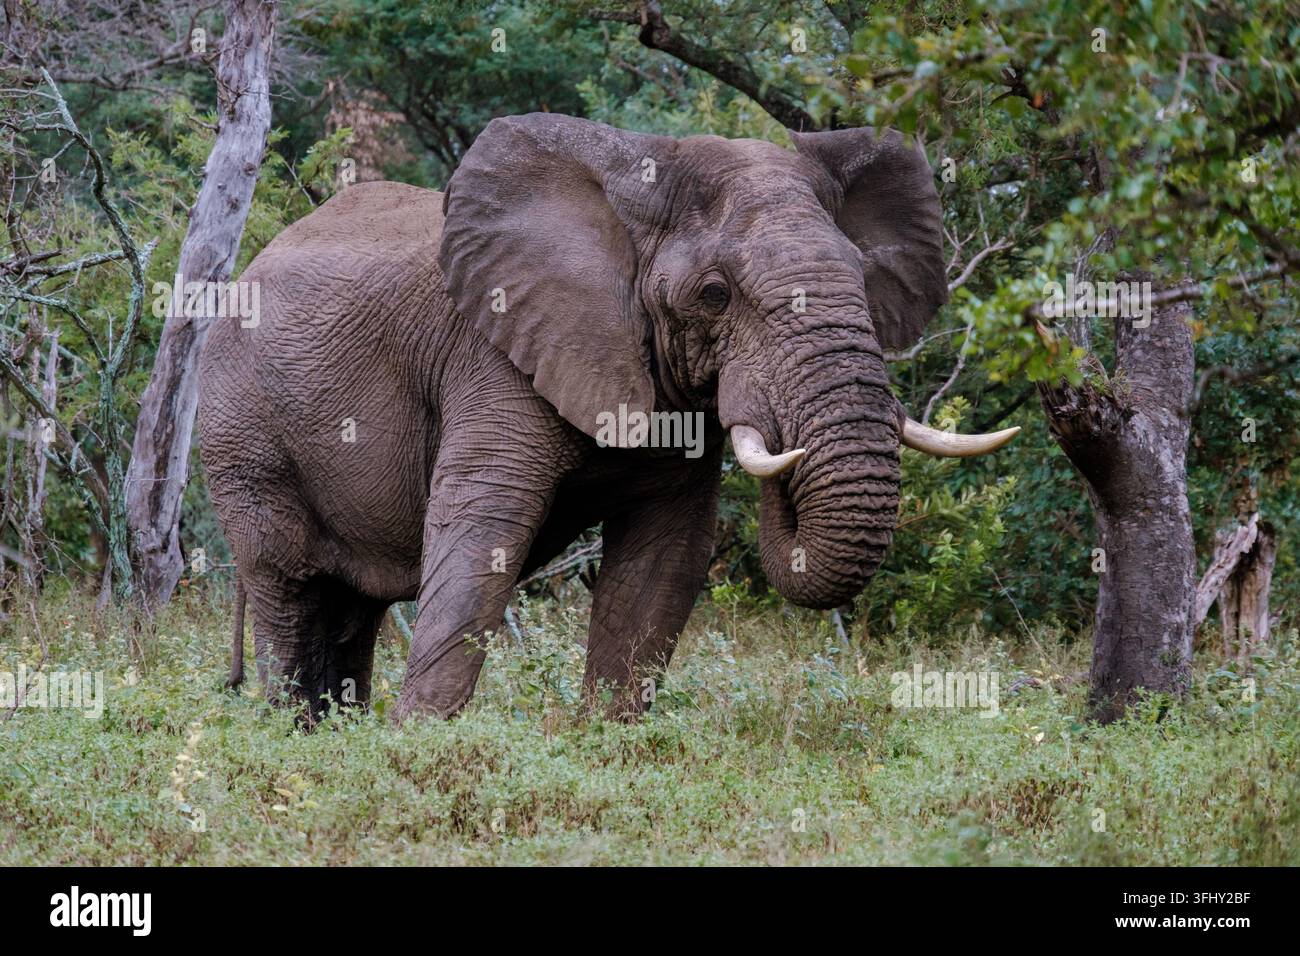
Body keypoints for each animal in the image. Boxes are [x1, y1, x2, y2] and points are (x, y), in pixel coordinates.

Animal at [199, 113, 1018, 722]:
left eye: (860, 277)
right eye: (715, 294)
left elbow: (665, 557)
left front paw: (607, 743)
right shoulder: (493, 355)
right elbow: (482, 533)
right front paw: (418, 746)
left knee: (352, 605)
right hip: (241, 432)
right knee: (286, 583)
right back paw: (297, 736)